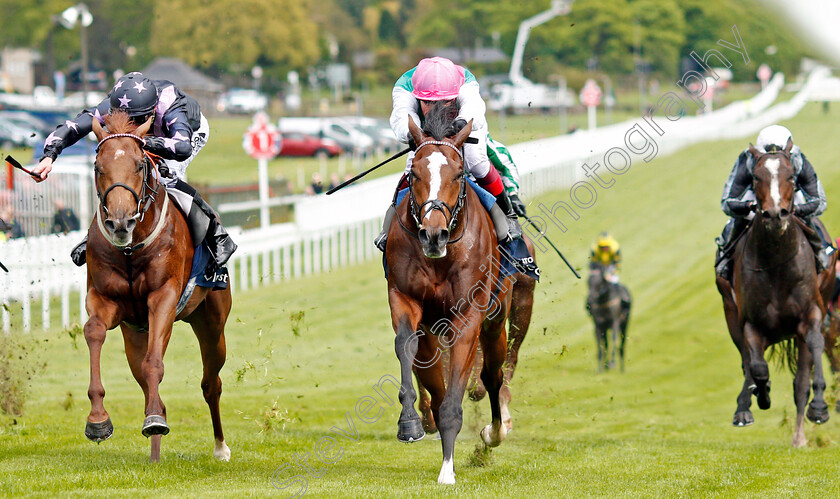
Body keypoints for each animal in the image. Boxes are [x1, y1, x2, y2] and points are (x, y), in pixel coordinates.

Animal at [384, 104, 536, 484]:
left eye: (456, 175)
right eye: (414, 174)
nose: (433, 235)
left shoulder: (468, 316)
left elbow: (457, 393)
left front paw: (447, 470)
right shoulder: (405, 300)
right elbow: (406, 346)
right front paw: (411, 423)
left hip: (499, 319)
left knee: (493, 376)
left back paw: (494, 432)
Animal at [712, 139, 836, 448]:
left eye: (791, 176)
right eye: (756, 177)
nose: (776, 214)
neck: (777, 261)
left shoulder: (811, 314)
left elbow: (814, 353)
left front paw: (819, 408)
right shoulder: (750, 322)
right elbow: (757, 367)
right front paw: (761, 394)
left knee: (801, 380)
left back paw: (799, 436)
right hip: (730, 312)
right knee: (747, 361)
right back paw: (744, 408)